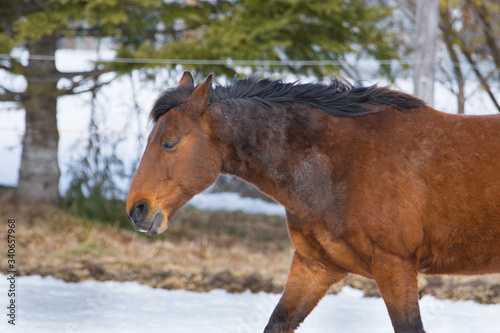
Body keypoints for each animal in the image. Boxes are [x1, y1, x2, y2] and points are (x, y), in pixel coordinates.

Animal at [126, 71, 500, 330]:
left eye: (170, 143)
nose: (137, 210)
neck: (343, 165)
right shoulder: (315, 266)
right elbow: (278, 322)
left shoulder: (395, 267)